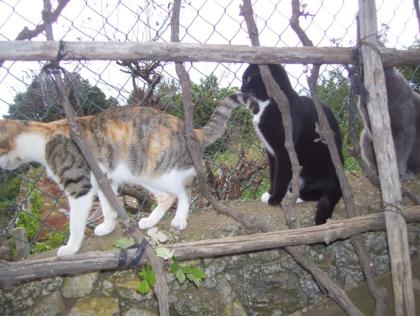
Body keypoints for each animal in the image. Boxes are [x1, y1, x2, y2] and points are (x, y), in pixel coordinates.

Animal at [0, 92, 253, 256]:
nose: (4, 168)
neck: (41, 137)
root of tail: (193, 131)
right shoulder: (105, 180)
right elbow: (107, 206)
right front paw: (108, 226)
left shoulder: (79, 187)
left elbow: (76, 223)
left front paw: (71, 247)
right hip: (143, 175)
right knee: (167, 197)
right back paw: (150, 220)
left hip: (160, 172)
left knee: (185, 192)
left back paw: (180, 219)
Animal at [241, 63, 342, 225]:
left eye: (248, 78)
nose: (241, 87)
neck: (269, 104)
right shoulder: (271, 153)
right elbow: (273, 173)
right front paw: (269, 193)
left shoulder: (284, 150)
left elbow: (281, 174)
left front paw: (275, 199)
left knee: (321, 190)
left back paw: (298, 196)